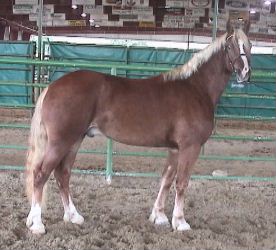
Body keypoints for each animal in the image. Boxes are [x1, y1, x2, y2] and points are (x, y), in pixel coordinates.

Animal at [24, 21, 251, 234]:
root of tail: (52, 87)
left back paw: (72, 216)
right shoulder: (190, 147)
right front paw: (180, 222)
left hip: (74, 141)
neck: (196, 88)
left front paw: (159, 216)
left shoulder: (174, 149)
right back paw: (37, 224)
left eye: (248, 46)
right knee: (41, 174)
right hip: (61, 142)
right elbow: (181, 183)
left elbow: (166, 180)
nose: (246, 73)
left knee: (62, 174)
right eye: (230, 45)